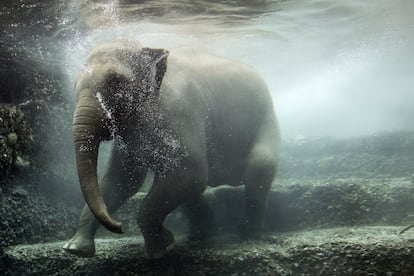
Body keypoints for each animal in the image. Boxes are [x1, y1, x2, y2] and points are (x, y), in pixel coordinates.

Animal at [62, 38, 282, 258]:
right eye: (74, 85)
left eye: (115, 80)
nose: (119, 227)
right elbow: (121, 180)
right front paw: (75, 249)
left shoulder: (179, 112)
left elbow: (190, 173)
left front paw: (161, 250)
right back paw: (203, 234)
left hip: (266, 120)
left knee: (260, 166)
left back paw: (246, 232)